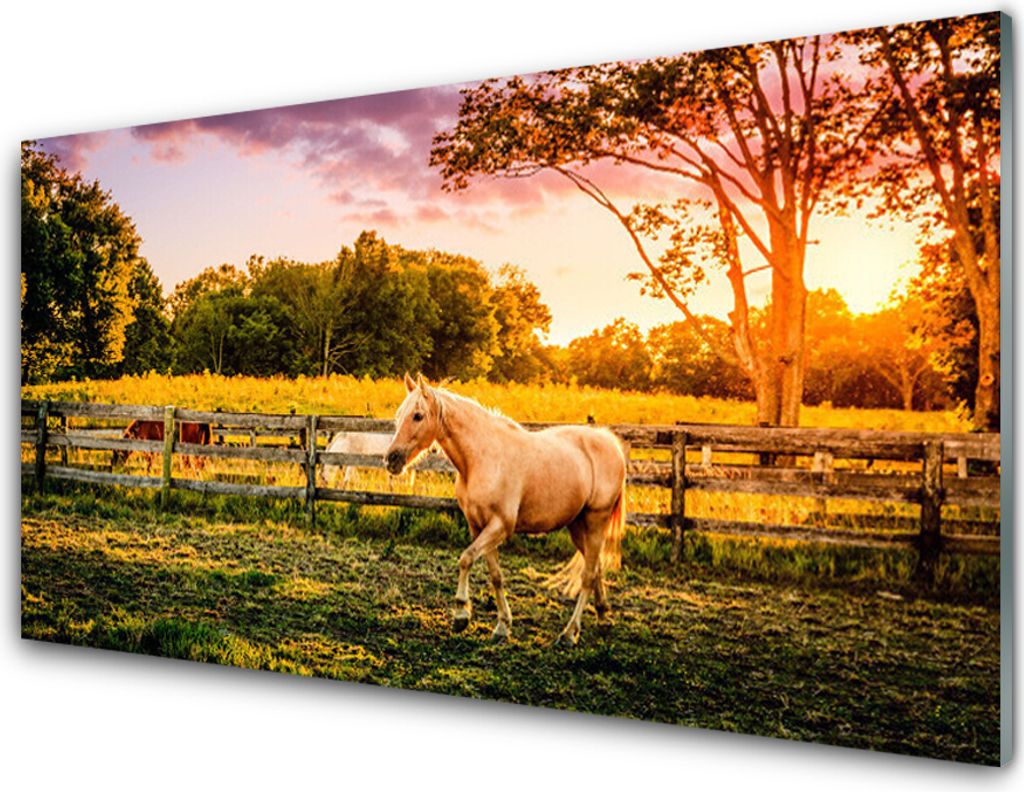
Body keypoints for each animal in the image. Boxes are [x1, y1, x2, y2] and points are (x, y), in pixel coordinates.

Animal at [385, 372, 627, 646]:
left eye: (417, 415)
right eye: (399, 414)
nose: (391, 459)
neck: (482, 459)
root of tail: (609, 442)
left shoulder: (500, 526)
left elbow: (466, 558)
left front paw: (461, 614)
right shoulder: (479, 526)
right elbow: (495, 575)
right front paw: (502, 626)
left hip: (596, 521)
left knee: (587, 576)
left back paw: (569, 633)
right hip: (577, 526)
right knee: (594, 568)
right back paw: (603, 617)